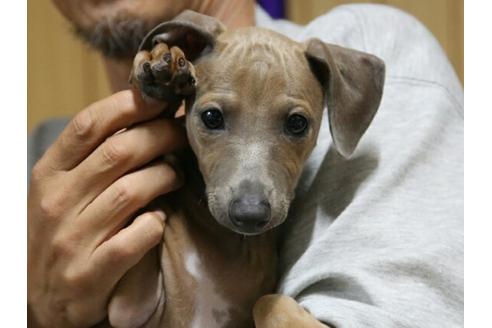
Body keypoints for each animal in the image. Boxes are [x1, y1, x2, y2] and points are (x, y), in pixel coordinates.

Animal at [106, 10, 384, 328]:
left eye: (297, 123)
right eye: (211, 117)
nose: (249, 214)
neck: (225, 242)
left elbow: (267, 302)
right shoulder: (131, 308)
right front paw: (160, 68)